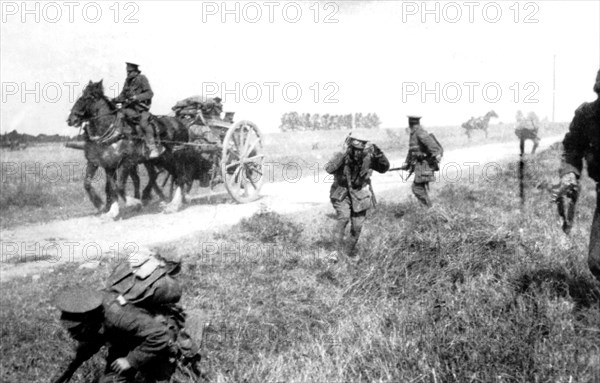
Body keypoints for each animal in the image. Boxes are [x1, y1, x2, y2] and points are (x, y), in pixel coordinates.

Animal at [67, 80, 191, 219]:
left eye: (87, 98)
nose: (70, 119)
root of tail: (180, 124)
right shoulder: (106, 164)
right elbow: (105, 186)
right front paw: (108, 209)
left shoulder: (126, 162)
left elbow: (119, 187)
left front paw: (133, 203)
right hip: (162, 160)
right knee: (168, 176)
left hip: (176, 156)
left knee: (180, 177)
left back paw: (173, 205)